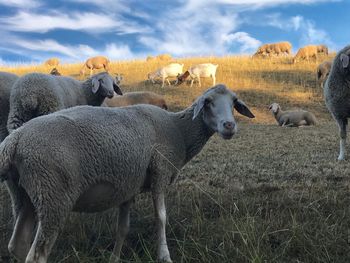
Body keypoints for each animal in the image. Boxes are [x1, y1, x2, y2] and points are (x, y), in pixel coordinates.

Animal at [0, 84, 254, 263]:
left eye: (234, 102)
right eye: (208, 102)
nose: (229, 126)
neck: (179, 131)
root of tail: (14, 142)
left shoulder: (128, 184)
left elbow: (123, 227)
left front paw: (114, 257)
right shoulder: (160, 171)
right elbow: (161, 217)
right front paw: (164, 256)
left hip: (27, 193)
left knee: (17, 245)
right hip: (53, 193)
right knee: (36, 255)